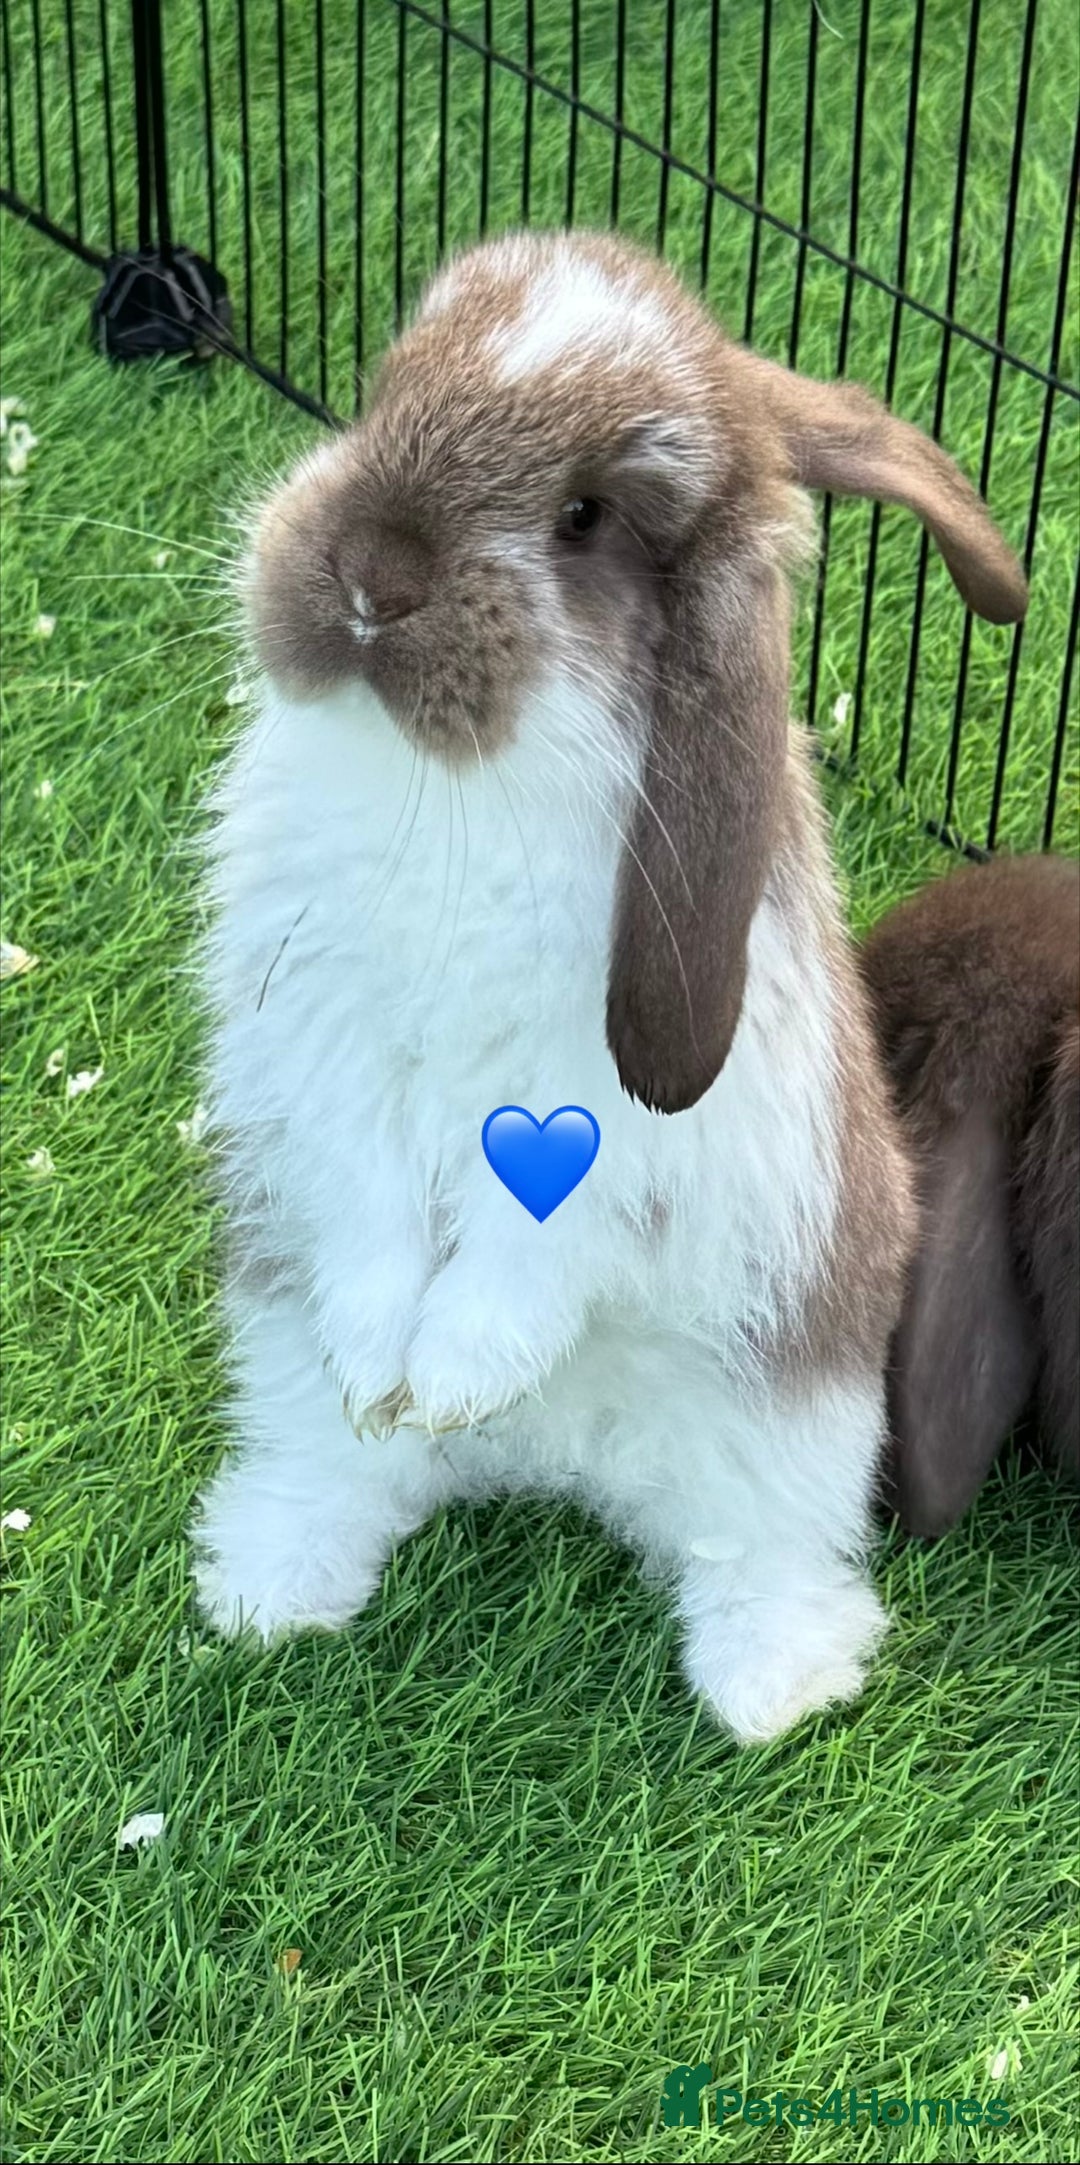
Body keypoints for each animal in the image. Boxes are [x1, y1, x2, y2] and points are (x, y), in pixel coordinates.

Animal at [192, 229, 1027, 1742]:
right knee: (335, 1463)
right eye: (385, 387)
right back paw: (275, 1578)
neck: (463, 784)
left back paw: (774, 1684)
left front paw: (453, 1376)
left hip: (799, 1420)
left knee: (754, 1554)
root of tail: (558, 1461)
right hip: (271, 1344)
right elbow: (370, 1212)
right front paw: (390, 1377)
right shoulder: (329, 1048)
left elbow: (543, 1237)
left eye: (584, 515)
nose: (367, 575)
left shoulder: (609, 1113)